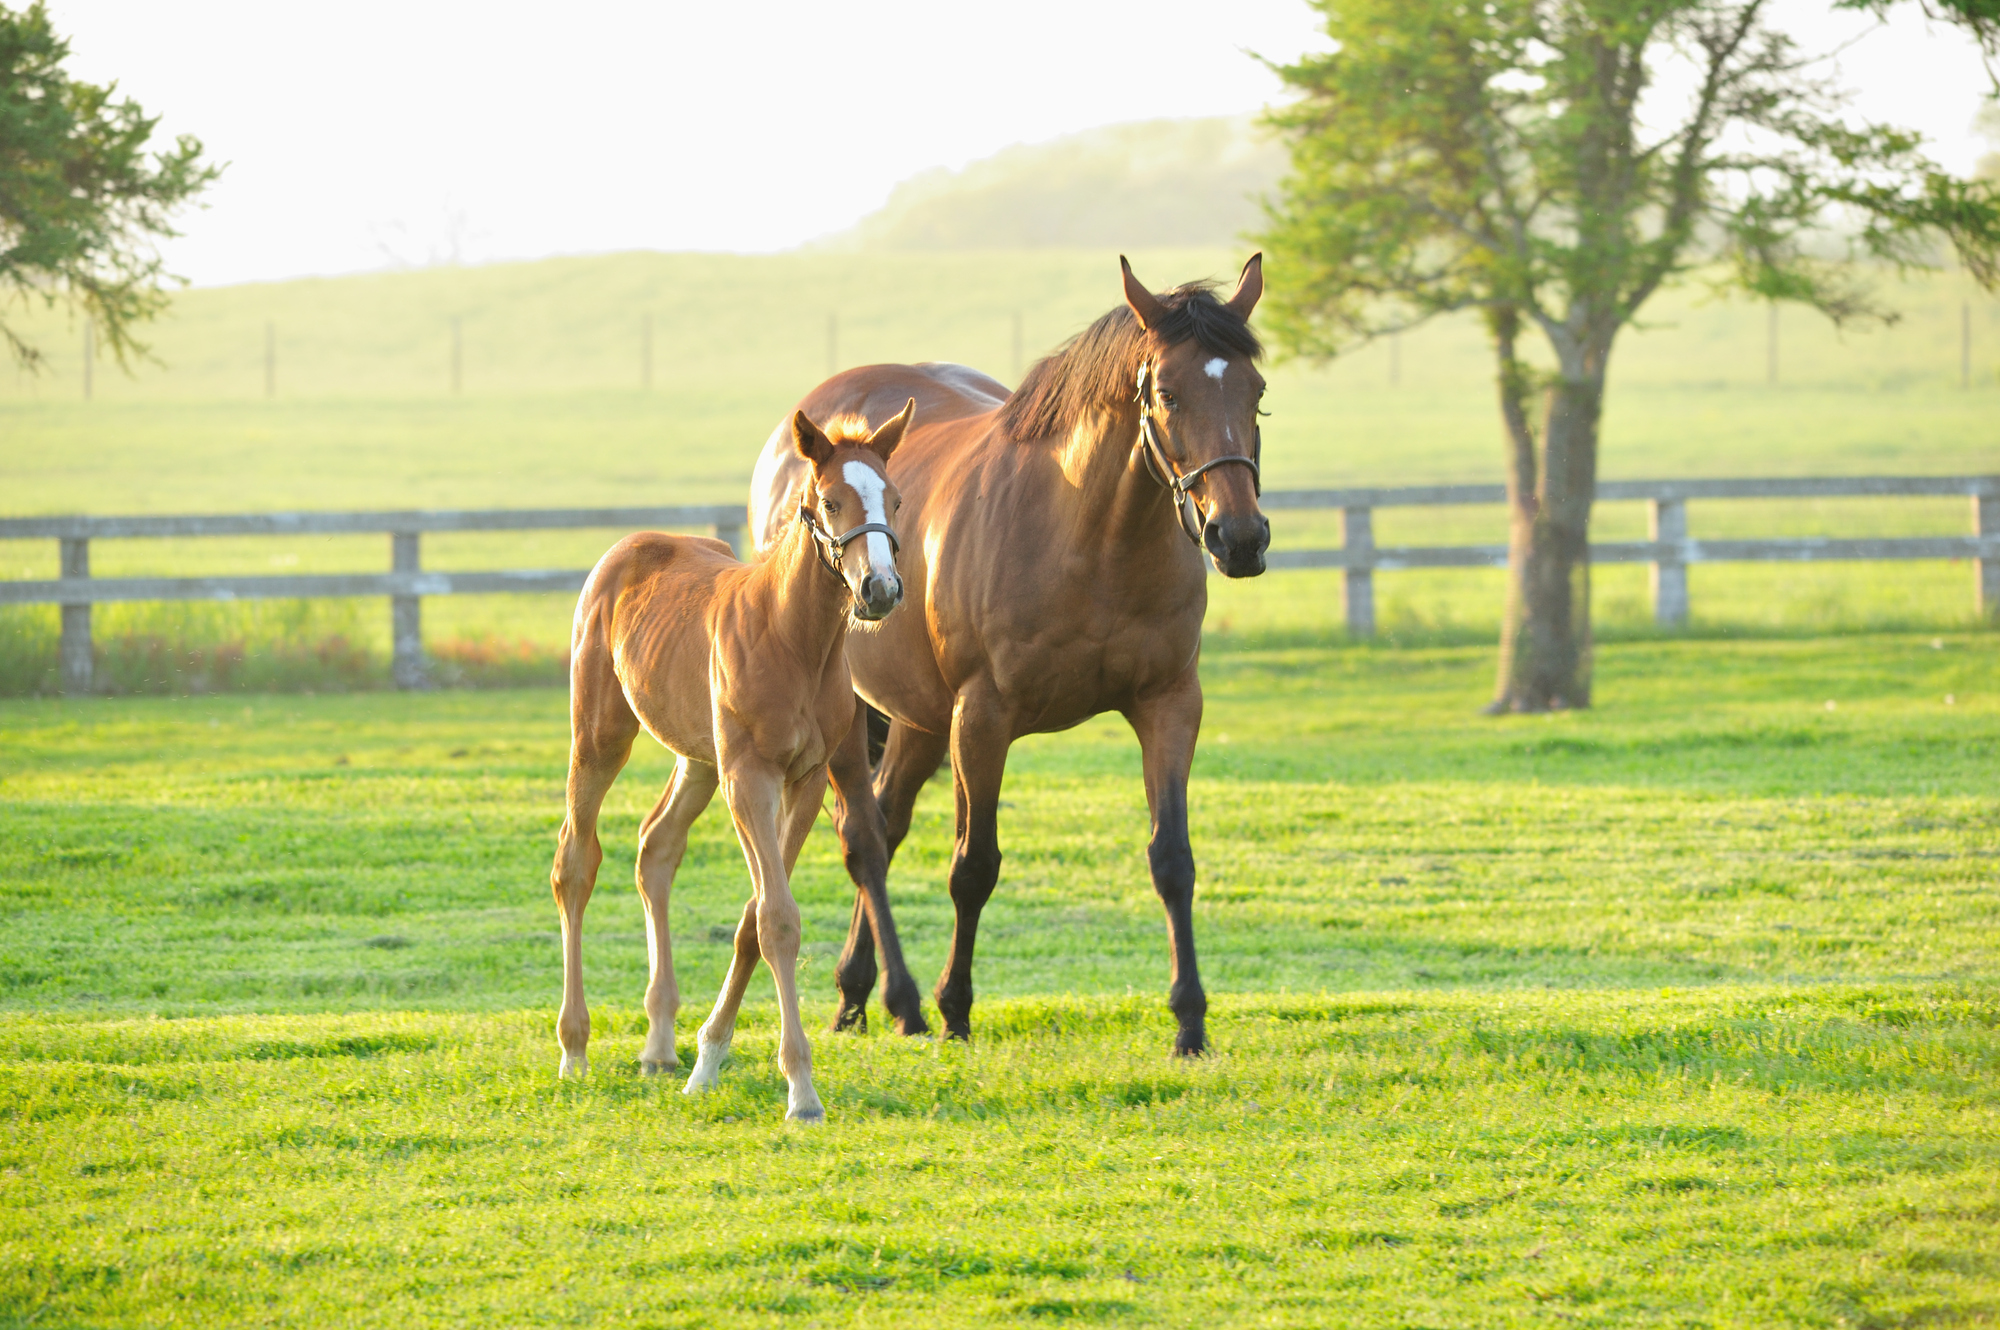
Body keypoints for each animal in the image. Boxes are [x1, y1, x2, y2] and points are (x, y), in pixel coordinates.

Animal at [552, 400, 916, 1112]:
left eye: (893, 497)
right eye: (829, 501)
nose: (880, 589)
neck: (794, 639)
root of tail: (627, 548)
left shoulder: (805, 778)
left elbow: (756, 916)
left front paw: (708, 1059)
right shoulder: (749, 777)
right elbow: (776, 918)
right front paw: (801, 1090)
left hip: (697, 757)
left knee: (656, 848)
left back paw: (659, 1045)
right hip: (601, 736)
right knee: (576, 862)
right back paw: (575, 1048)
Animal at [752, 254, 1264, 1056]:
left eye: (1256, 391)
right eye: (1169, 394)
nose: (1238, 537)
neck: (1086, 536)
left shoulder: (1170, 704)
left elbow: (1172, 860)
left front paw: (1190, 1020)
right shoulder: (983, 718)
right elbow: (974, 867)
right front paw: (955, 1009)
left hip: (919, 718)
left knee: (887, 824)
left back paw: (860, 995)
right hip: (863, 712)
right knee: (863, 839)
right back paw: (899, 1000)